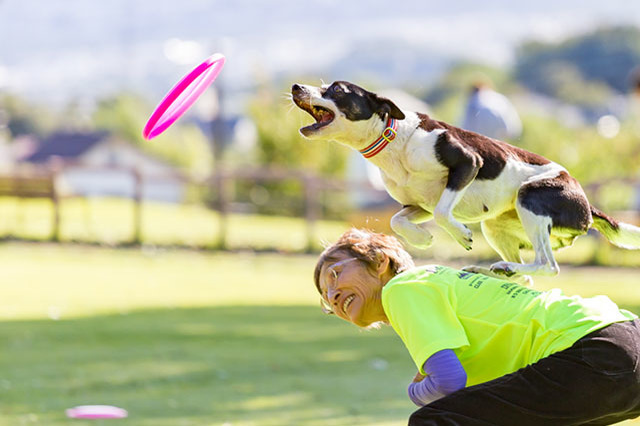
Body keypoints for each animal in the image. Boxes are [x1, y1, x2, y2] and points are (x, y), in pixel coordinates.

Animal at [292, 80, 640, 282]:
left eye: (337, 90)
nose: (296, 86)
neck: (395, 137)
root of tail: (588, 207)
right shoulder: (418, 204)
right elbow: (396, 220)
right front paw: (422, 239)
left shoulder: (468, 163)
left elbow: (444, 213)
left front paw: (460, 236)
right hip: (497, 226)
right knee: (526, 276)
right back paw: (494, 269)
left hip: (531, 198)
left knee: (547, 265)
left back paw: (505, 267)